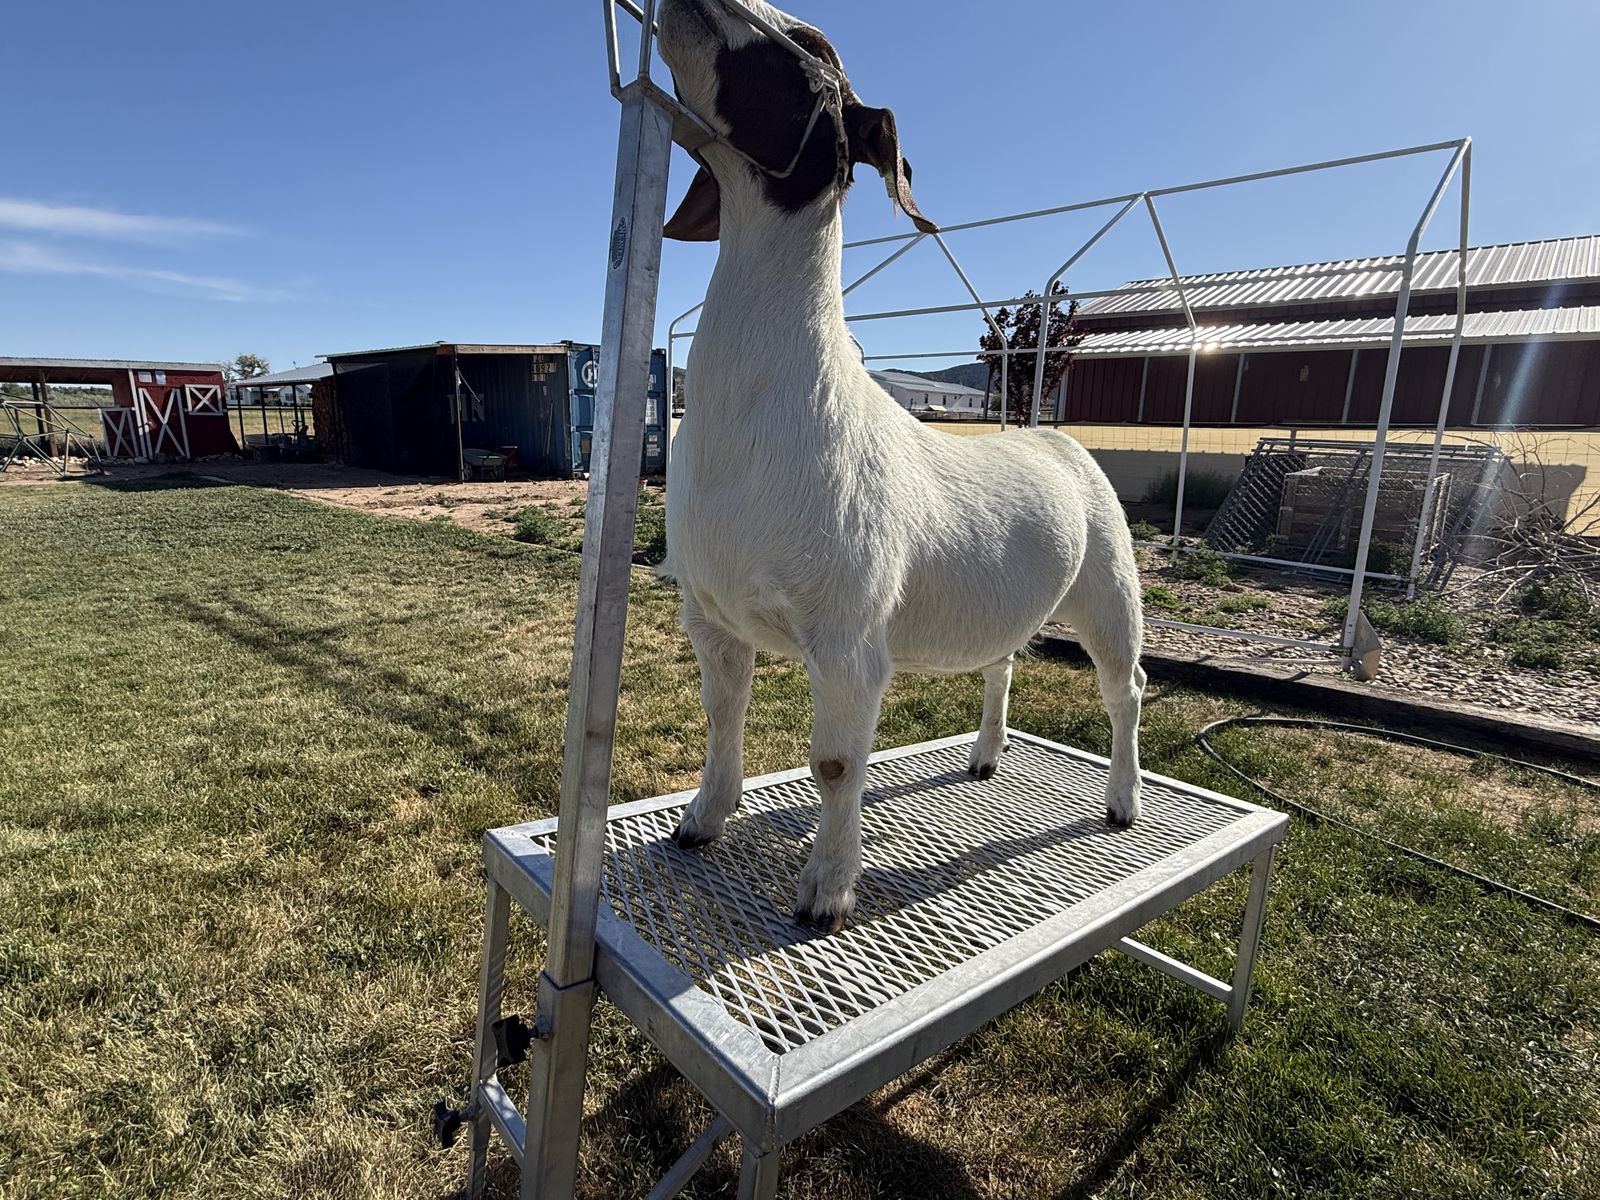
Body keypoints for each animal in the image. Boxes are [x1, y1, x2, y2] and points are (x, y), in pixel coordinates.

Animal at [655, 0, 1146, 933]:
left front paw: (826, 892)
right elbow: (719, 716)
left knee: (1126, 688)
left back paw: (1123, 804)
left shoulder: (848, 635)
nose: (693, 3)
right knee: (1003, 660)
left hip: (1110, 586)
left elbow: (836, 767)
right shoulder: (711, 614)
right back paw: (986, 756)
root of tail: (1050, 435)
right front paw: (702, 820)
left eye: (810, 44)